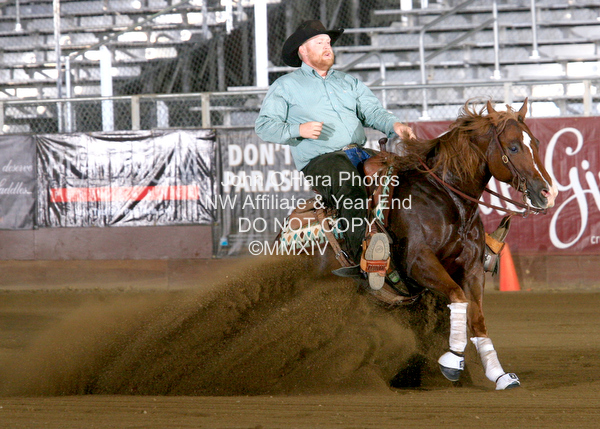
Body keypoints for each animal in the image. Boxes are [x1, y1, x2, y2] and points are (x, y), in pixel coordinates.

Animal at [278, 98, 558, 390]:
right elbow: (458, 296)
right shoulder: (419, 263)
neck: (445, 197)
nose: (547, 193)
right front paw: (452, 361)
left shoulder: (472, 268)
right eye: (513, 147)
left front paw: (498, 374)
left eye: (537, 142)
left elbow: (477, 318)